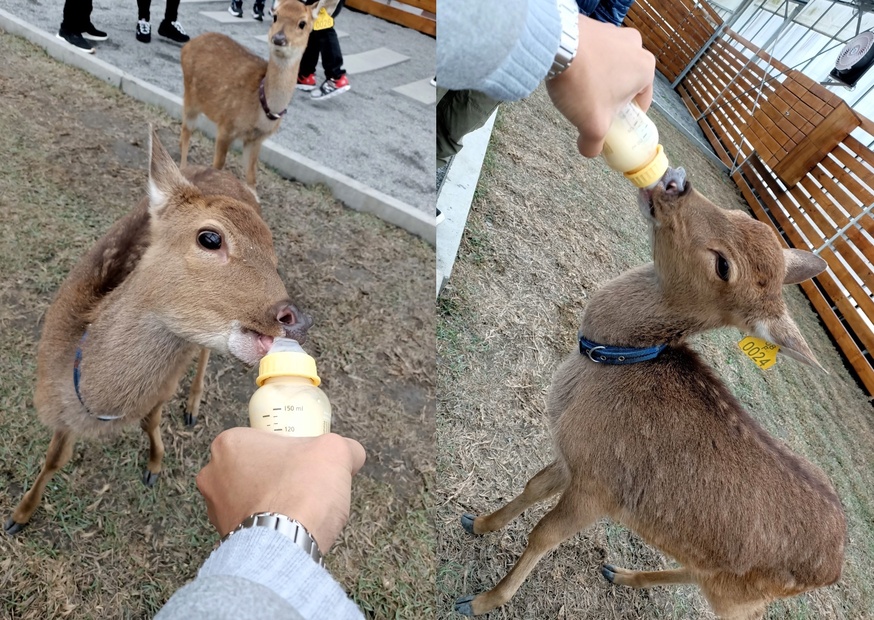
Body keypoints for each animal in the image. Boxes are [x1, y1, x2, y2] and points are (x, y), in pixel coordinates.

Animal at [4, 127, 312, 535]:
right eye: (210, 238)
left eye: (274, 256)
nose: (295, 318)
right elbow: (55, 456)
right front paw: (18, 516)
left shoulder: (164, 384)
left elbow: (151, 420)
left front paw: (154, 466)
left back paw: (192, 406)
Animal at [179, 0, 317, 191]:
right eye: (275, 16)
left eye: (302, 23)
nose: (279, 39)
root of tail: (186, 46)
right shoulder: (226, 125)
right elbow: (218, 166)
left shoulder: (256, 140)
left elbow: (251, 177)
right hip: (190, 96)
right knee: (186, 130)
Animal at [454, 167, 846, 619]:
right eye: (741, 215)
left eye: (723, 265)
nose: (676, 182)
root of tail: (835, 566)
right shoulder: (574, 457)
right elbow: (532, 485)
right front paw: (476, 523)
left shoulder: (601, 488)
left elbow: (543, 536)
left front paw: (479, 601)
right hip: (724, 581)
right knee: (694, 572)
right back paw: (620, 574)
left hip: (745, 598)